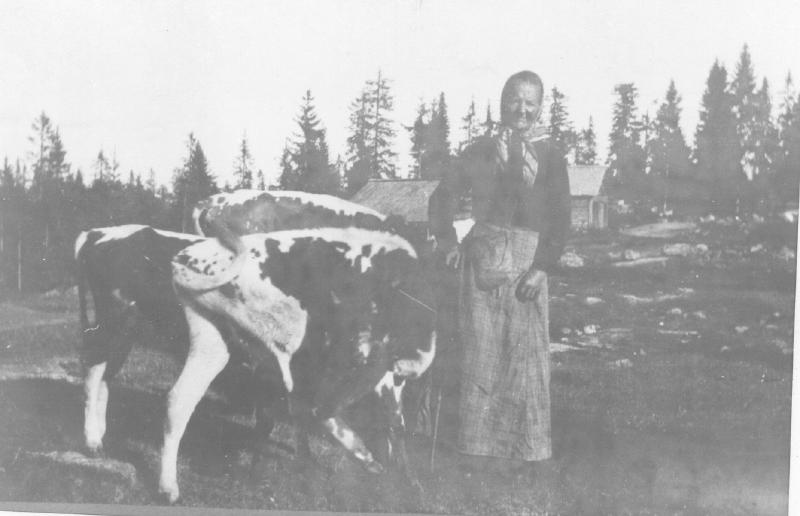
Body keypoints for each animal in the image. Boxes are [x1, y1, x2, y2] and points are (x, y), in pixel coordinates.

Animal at [161, 227, 437, 503]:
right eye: (352, 361)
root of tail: (189, 255)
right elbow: (388, 417)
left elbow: (395, 421)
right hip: (283, 338)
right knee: (294, 405)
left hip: (212, 337)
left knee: (181, 399)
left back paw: (168, 488)